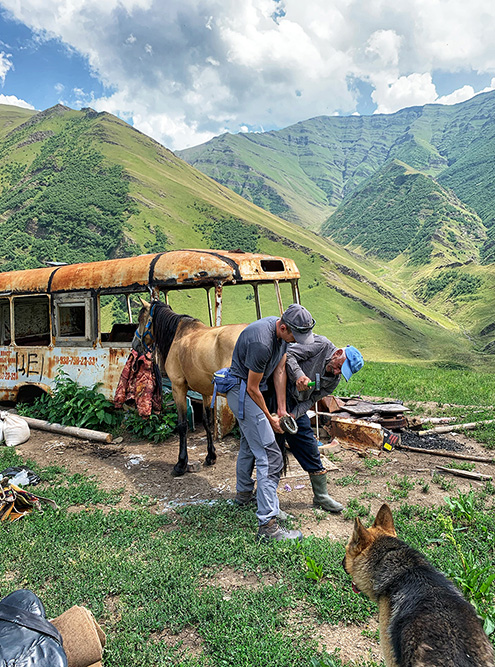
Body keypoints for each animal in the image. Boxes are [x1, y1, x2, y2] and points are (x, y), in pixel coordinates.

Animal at [136, 300, 246, 478]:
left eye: (140, 319)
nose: (135, 344)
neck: (178, 334)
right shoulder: (206, 392)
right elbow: (208, 422)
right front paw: (211, 456)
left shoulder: (178, 388)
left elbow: (182, 425)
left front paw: (181, 464)